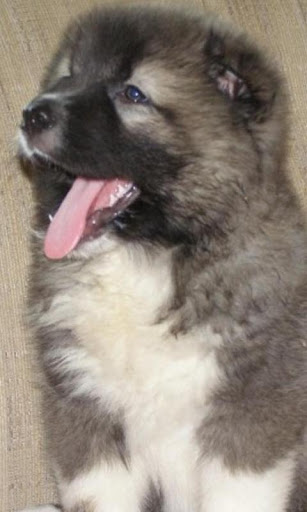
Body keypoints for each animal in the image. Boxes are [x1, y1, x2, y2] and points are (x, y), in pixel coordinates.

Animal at [17, 4, 307, 512]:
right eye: (70, 75)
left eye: (133, 94)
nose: (31, 113)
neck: (147, 259)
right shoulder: (85, 411)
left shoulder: (253, 413)